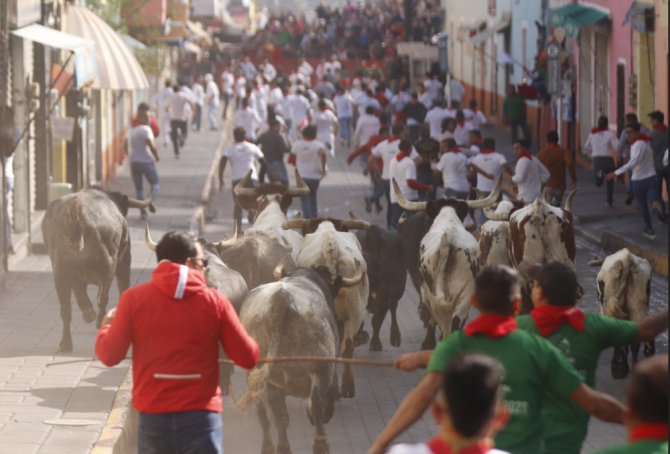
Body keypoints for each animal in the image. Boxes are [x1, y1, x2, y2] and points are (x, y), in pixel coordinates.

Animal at [43, 188, 155, 352]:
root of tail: (77, 214)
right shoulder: (124, 263)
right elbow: (121, 288)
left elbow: (79, 293)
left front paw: (87, 312)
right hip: (108, 265)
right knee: (102, 297)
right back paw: (99, 321)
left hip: (59, 271)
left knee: (66, 308)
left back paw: (66, 342)